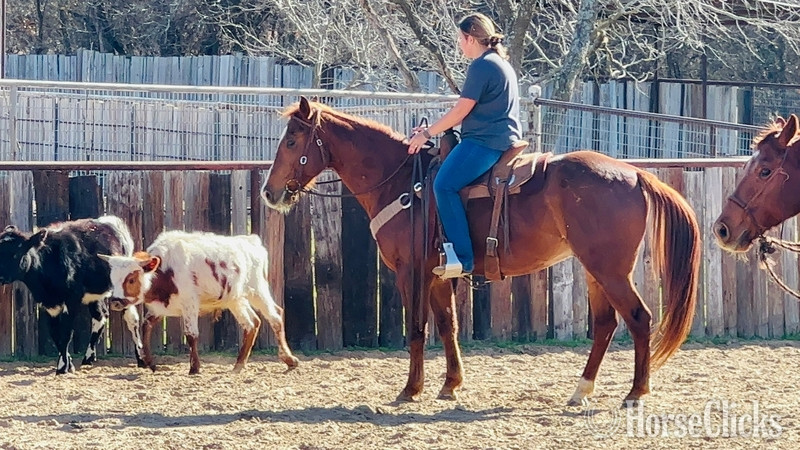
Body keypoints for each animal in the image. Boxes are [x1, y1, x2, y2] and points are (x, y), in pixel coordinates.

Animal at [261, 96, 701, 407]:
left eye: (293, 140)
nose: (269, 191)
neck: (403, 183)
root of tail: (636, 173)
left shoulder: (410, 272)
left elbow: (417, 329)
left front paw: (411, 389)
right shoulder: (439, 275)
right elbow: (447, 326)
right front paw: (451, 384)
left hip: (610, 270)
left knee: (640, 319)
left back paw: (635, 393)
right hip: (595, 270)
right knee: (607, 324)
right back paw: (581, 390)